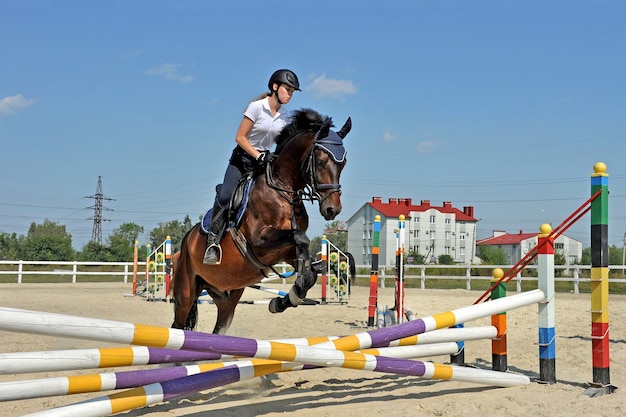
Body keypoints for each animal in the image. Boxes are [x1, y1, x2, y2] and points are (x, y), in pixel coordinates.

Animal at [169, 109, 352, 334]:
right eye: (320, 162)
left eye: (343, 163)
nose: (332, 209)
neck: (283, 189)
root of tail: (184, 244)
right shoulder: (259, 242)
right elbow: (300, 236)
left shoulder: (285, 251)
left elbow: (307, 270)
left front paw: (284, 300)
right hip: (185, 294)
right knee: (178, 324)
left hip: (226, 297)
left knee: (219, 327)